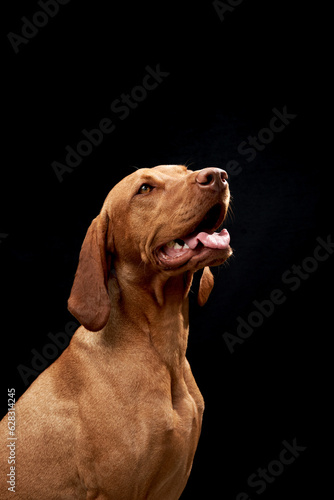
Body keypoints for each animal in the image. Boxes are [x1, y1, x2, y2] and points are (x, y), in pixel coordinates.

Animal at [1, 164, 232, 496]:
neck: (163, 349)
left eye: (185, 170)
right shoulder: (114, 490)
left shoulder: (171, 486)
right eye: (145, 189)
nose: (218, 176)